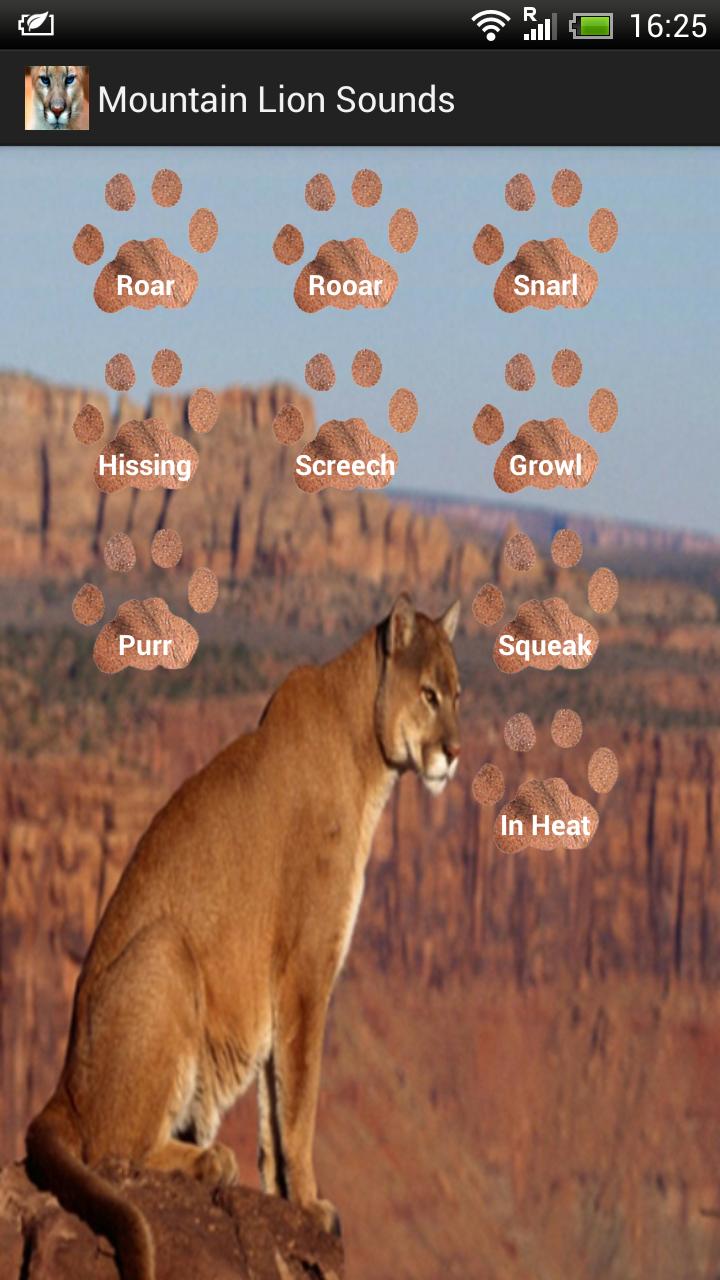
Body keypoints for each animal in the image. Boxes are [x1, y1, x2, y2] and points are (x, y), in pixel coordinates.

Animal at [26, 595, 461, 1280]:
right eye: (429, 694)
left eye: (459, 693)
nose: (455, 752)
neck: (362, 745)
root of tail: (62, 1084)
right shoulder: (307, 969)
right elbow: (301, 1098)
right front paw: (309, 1204)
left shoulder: (279, 988)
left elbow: (273, 1108)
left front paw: (283, 1197)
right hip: (166, 953)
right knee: (111, 1148)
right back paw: (207, 1160)